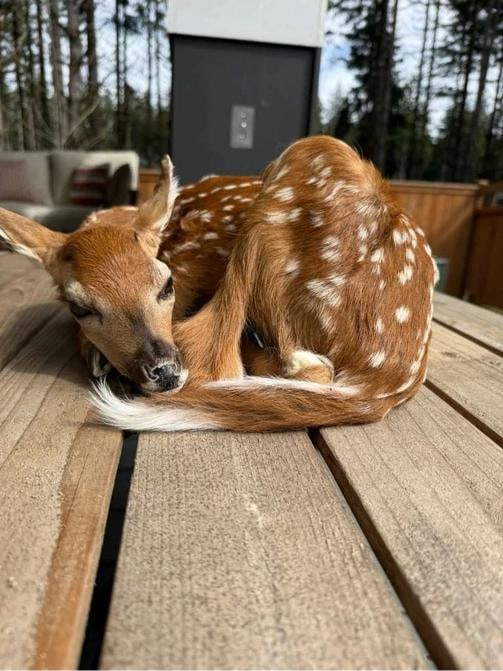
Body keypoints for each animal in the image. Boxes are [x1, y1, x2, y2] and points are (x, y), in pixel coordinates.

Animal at [0, 136, 437, 432]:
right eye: (81, 307)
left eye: (166, 285)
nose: (163, 371)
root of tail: (389, 377)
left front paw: (95, 354)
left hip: (311, 156)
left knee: (266, 363)